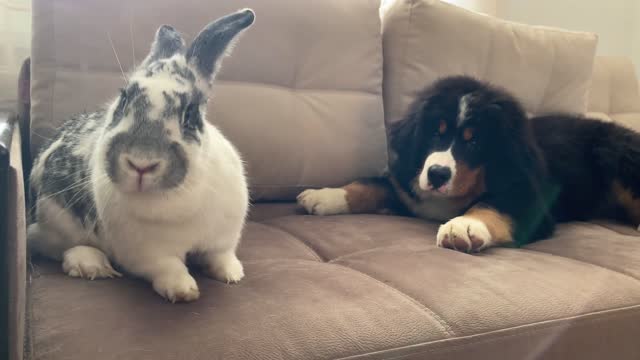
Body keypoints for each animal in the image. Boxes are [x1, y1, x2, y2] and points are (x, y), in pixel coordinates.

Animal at [28, 8, 255, 302]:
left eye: (191, 114)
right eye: (124, 100)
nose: (141, 163)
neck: (179, 199)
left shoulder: (223, 238)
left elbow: (221, 256)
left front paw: (232, 274)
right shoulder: (146, 253)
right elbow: (169, 267)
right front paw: (183, 291)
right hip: (56, 223)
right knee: (52, 247)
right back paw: (91, 264)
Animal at [296, 74, 640, 252]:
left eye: (474, 142)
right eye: (435, 133)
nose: (436, 174)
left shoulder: (531, 201)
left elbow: (492, 205)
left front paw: (464, 225)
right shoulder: (409, 185)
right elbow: (373, 185)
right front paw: (325, 195)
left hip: (619, 159)